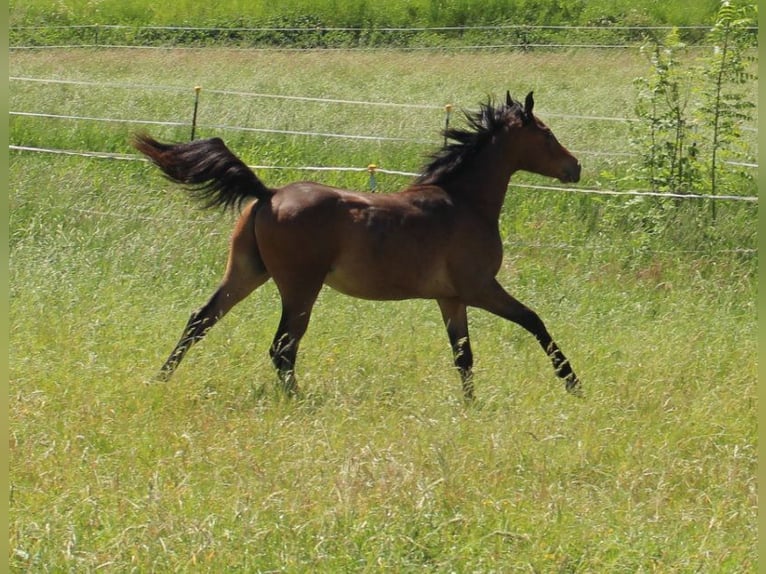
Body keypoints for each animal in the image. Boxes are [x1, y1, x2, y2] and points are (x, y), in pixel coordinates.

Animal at [133, 90, 582, 400]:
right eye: (546, 134)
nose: (574, 166)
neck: (464, 202)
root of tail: (268, 194)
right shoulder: (480, 288)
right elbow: (534, 322)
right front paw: (573, 384)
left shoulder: (451, 299)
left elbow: (463, 355)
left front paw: (471, 405)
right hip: (299, 286)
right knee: (282, 347)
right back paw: (296, 399)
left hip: (247, 272)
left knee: (201, 320)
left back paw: (160, 379)